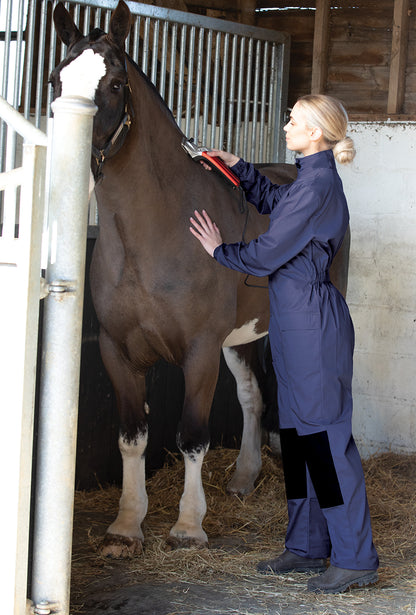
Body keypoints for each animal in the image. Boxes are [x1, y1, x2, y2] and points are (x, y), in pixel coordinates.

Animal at [52, 0, 350, 560]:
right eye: (57, 79)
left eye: (116, 84)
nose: (71, 159)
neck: (159, 231)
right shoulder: (118, 351)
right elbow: (132, 436)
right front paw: (126, 526)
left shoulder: (199, 350)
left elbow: (191, 435)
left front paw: (188, 527)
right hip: (243, 339)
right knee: (254, 397)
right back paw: (244, 477)